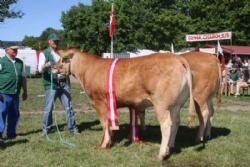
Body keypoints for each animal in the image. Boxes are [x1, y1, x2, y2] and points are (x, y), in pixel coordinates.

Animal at [56, 47, 193, 160]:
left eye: (63, 59)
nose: (53, 67)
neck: (86, 70)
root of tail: (177, 58)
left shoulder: (99, 102)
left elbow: (104, 123)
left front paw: (104, 144)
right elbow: (109, 124)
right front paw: (109, 140)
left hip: (161, 104)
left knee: (166, 125)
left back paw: (162, 154)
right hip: (176, 104)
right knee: (175, 123)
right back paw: (170, 147)